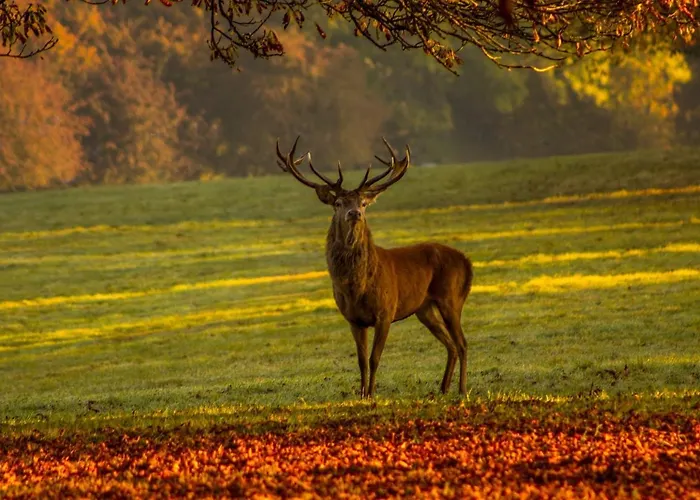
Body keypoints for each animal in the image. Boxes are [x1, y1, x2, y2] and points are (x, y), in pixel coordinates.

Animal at [276, 137, 473, 398]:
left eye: (363, 203)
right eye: (338, 202)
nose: (354, 213)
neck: (357, 287)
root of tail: (467, 262)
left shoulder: (385, 312)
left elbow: (374, 358)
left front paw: (371, 394)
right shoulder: (353, 319)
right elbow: (361, 360)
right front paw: (361, 394)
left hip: (451, 298)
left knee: (462, 342)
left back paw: (462, 389)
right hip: (424, 308)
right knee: (450, 344)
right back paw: (442, 388)